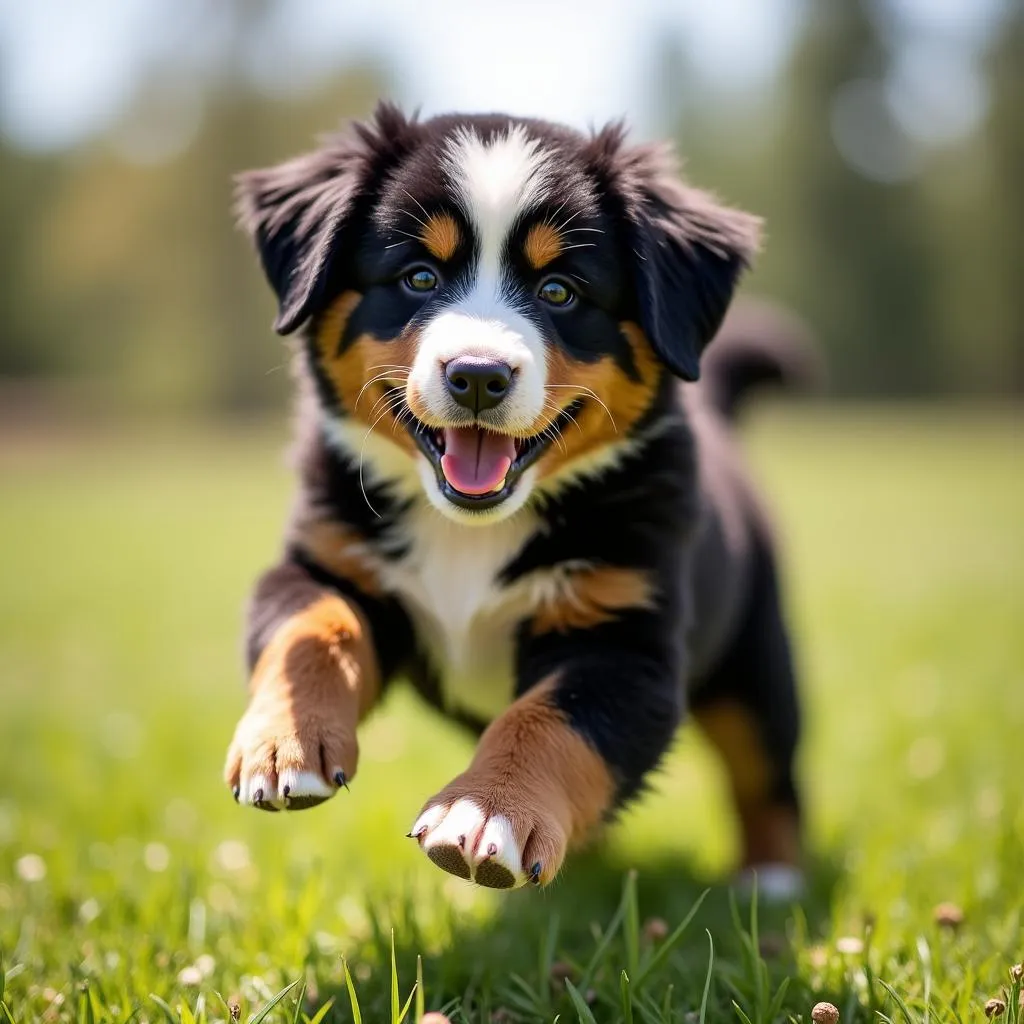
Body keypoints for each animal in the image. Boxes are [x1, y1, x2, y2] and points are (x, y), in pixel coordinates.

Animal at [228, 99, 811, 892]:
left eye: (558, 291)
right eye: (418, 277)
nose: (478, 374)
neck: (468, 533)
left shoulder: (623, 638)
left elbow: (545, 721)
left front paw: (486, 815)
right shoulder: (324, 560)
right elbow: (312, 630)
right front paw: (283, 744)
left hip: (756, 654)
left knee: (766, 764)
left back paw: (772, 879)